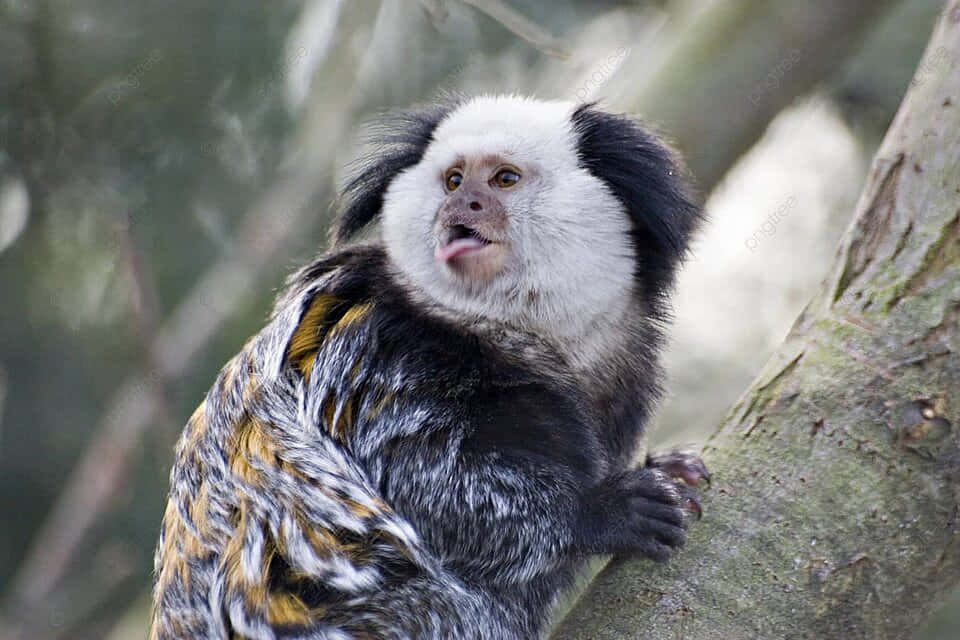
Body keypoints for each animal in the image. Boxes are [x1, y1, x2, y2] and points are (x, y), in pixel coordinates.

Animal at [150, 94, 707, 640]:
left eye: (504, 179)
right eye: (454, 180)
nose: (463, 205)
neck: (503, 333)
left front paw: (667, 467)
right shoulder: (379, 357)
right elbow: (422, 485)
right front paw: (597, 512)